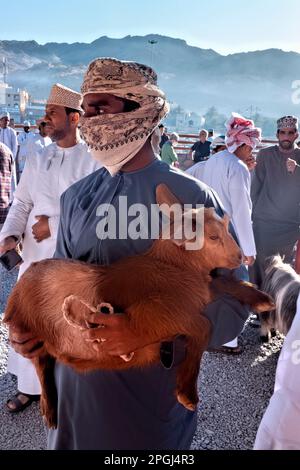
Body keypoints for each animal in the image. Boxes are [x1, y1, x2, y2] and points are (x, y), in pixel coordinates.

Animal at [2, 185, 274, 428]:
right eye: (214, 237)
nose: (240, 257)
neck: (172, 266)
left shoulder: (197, 293)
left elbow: (223, 282)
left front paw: (262, 299)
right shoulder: (157, 314)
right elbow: (203, 325)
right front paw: (187, 394)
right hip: (26, 326)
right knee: (41, 365)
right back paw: (49, 410)